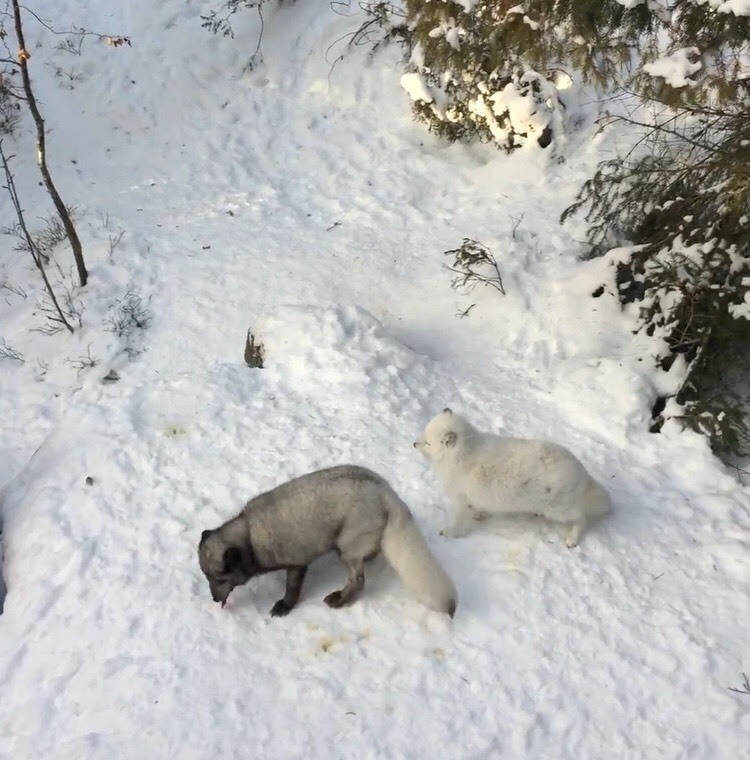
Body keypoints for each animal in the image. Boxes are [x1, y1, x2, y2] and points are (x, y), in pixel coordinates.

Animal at [414, 410, 612, 548]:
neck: (462, 454)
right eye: (423, 435)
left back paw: (572, 538)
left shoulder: (460, 499)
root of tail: (582, 473)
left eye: (428, 443)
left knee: (582, 519)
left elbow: (458, 520)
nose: (414, 443)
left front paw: (450, 532)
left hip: (560, 511)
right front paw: (479, 514)